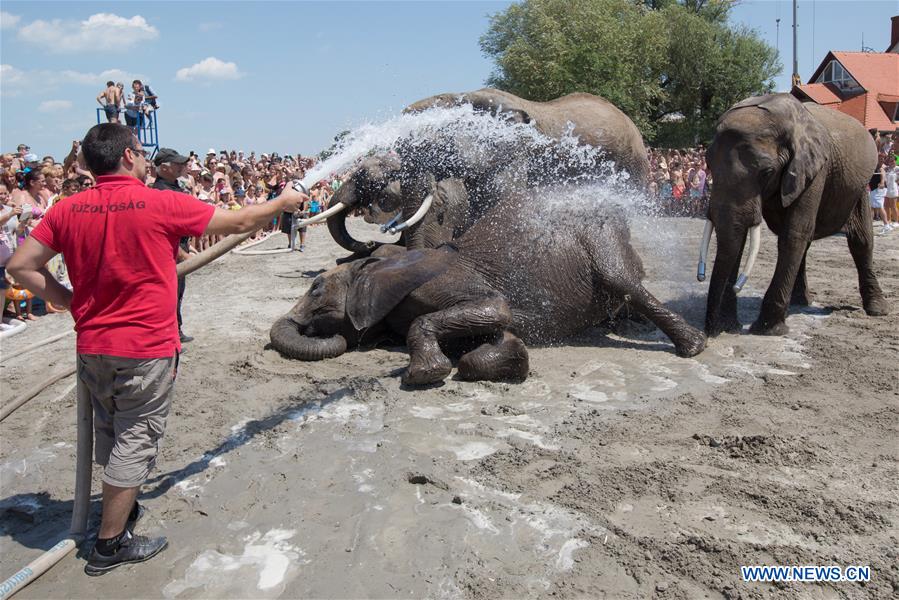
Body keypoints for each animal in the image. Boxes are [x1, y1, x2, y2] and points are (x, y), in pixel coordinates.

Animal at [270, 190, 708, 386]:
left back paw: (693, 347)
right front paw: (511, 356)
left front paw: (424, 373)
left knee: (624, 282)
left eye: (316, 288)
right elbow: (495, 336)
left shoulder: (446, 282)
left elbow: (496, 309)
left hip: (601, 237)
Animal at [704, 94, 884, 338]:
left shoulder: (815, 170)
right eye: (708, 164)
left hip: (859, 189)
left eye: (767, 172)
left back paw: (877, 309)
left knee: (861, 241)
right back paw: (800, 301)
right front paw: (729, 326)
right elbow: (739, 239)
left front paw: (767, 330)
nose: (709, 332)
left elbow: (793, 234)